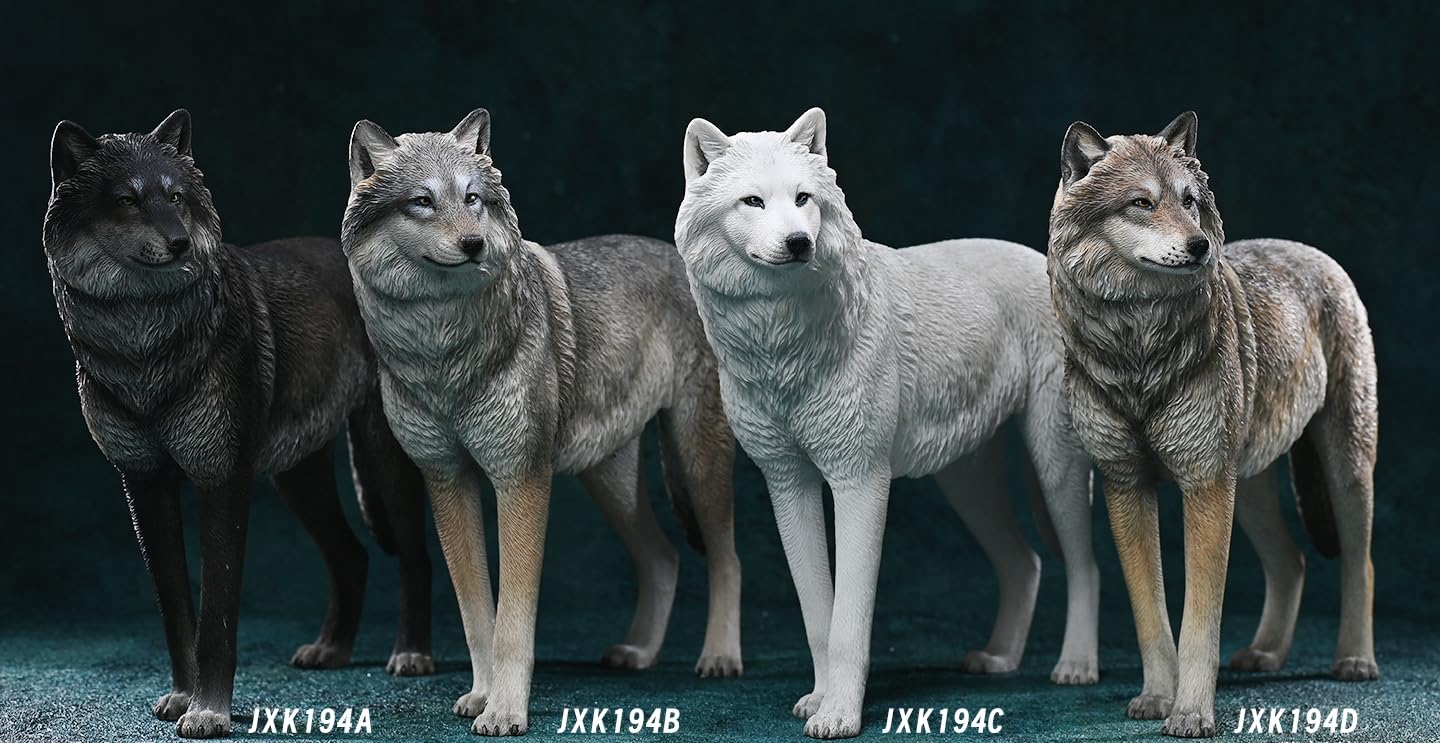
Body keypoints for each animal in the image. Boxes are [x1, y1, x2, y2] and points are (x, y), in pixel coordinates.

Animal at [43, 111, 434, 738]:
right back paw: (330, 650)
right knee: (352, 556)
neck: (142, 345)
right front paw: (182, 698)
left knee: (416, 556)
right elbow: (176, 607)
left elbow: (218, 613)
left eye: (176, 197)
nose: (179, 241)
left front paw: (208, 712)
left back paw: (411, 654)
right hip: (298, 477)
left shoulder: (222, 480)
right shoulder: (145, 484)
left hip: (383, 457)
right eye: (127, 201)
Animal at [342, 109, 743, 736]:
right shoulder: (448, 482)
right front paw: (482, 697)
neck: (441, 354)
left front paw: (506, 711)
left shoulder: (521, 480)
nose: (474, 243)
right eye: (423, 202)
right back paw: (639, 653)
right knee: (665, 558)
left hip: (696, 461)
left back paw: (720, 657)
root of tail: (687, 262)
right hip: (609, 483)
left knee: (727, 558)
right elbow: (476, 614)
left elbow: (512, 619)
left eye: (473, 198)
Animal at [675, 108, 1101, 739]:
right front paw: (819, 700)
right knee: (1025, 563)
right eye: (753, 201)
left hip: (1055, 468)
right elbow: (818, 617)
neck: (781, 346)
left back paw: (1075, 667)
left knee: (1084, 565)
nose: (799, 242)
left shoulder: (860, 482)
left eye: (802, 199)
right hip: (967, 485)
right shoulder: (789, 484)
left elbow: (849, 622)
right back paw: (999, 660)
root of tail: (1041, 259)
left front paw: (840, 716)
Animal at [1048, 111, 1379, 738]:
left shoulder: (1203, 485)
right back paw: (1265, 654)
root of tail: (1315, 253)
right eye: (1142, 203)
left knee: (1360, 561)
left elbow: (1199, 620)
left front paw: (1192, 713)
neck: (1139, 351)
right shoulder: (1128, 486)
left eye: (1189, 201)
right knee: (1292, 562)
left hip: (1343, 470)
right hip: (1246, 487)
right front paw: (1158, 697)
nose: (1200, 246)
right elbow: (1151, 614)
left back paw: (1355, 660)